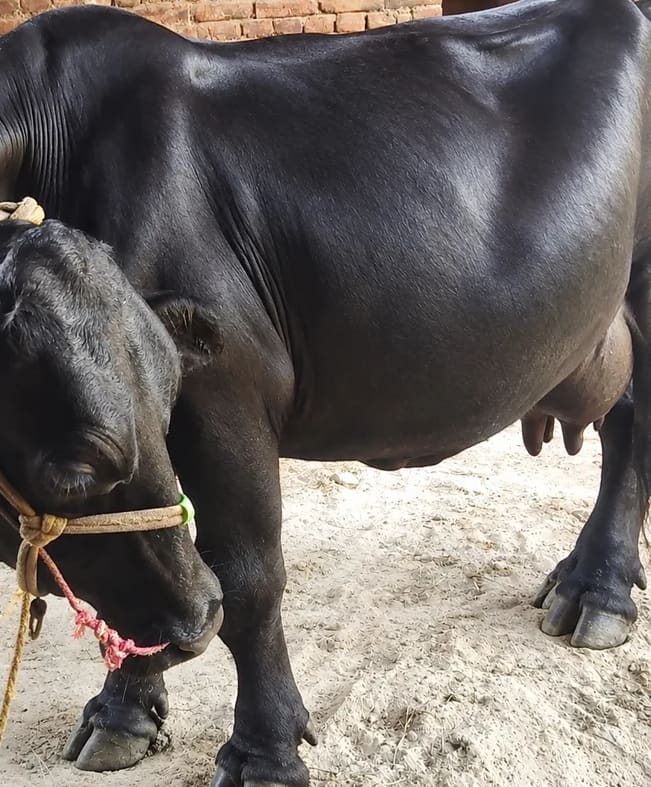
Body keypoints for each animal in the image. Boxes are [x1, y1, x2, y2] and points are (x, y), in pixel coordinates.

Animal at [0, 0, 649, 784]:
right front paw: (120, 713)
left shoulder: (227, 389)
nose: (195, 624)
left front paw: (263, 749)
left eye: (77, 472)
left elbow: (246, 574)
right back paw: (575, 578)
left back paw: (600, 594)